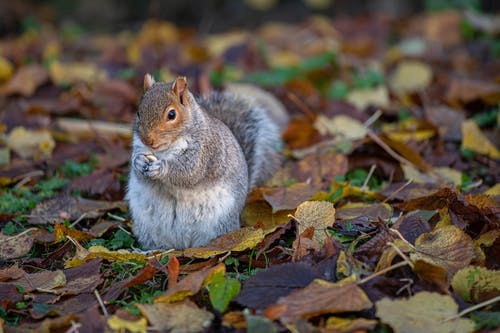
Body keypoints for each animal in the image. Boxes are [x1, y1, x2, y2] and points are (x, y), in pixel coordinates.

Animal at [127, 74, 288, 248]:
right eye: (138, 112)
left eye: (171, 115)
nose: (147, 140)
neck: (163, 150)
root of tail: (182, 245)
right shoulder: (139, 146)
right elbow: (139, 172)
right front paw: (139, 162)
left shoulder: (204, 153)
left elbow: (188, 173)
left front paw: (161, 168)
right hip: (148, 227)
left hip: (217, 224)